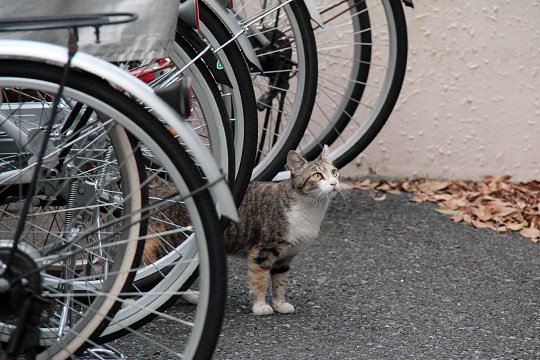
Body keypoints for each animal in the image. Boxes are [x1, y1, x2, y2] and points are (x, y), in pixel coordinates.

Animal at [142, 146, 338, 316]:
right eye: (317, 175)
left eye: (334, 172)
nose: (335, 183)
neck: (310, 209)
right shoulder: (263, 250)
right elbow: (260, 280)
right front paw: (260, 306)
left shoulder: (286, 256)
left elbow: (280, 282)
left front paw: (280, 304)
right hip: (166, 244)